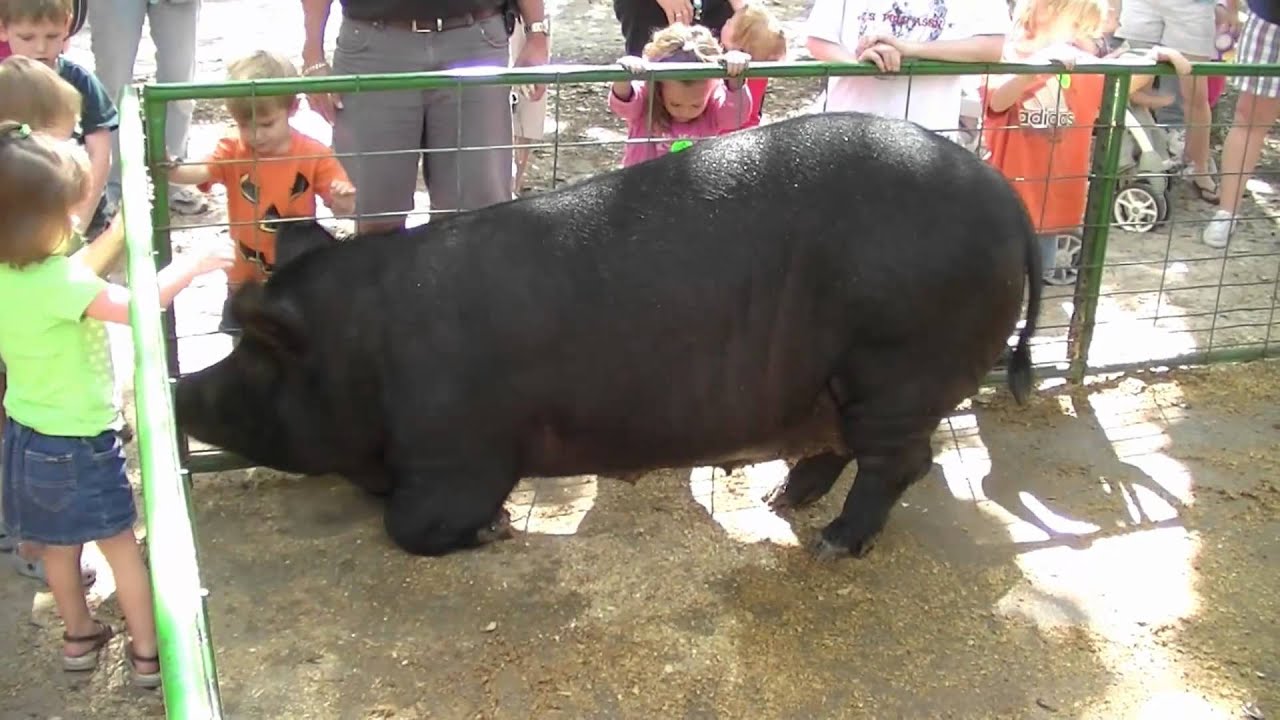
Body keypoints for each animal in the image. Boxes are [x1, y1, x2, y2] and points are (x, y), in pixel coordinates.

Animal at [176, 110, 1043, 560]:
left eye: (255, 353)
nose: (181, 388)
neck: (364, 348)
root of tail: (1008, 201)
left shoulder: (462, 446)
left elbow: (412, 524)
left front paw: (492, 529)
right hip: (840, 380)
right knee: (835, 447)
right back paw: (778, 500)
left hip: (898, 367)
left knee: (902, 461)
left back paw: (829, 543)